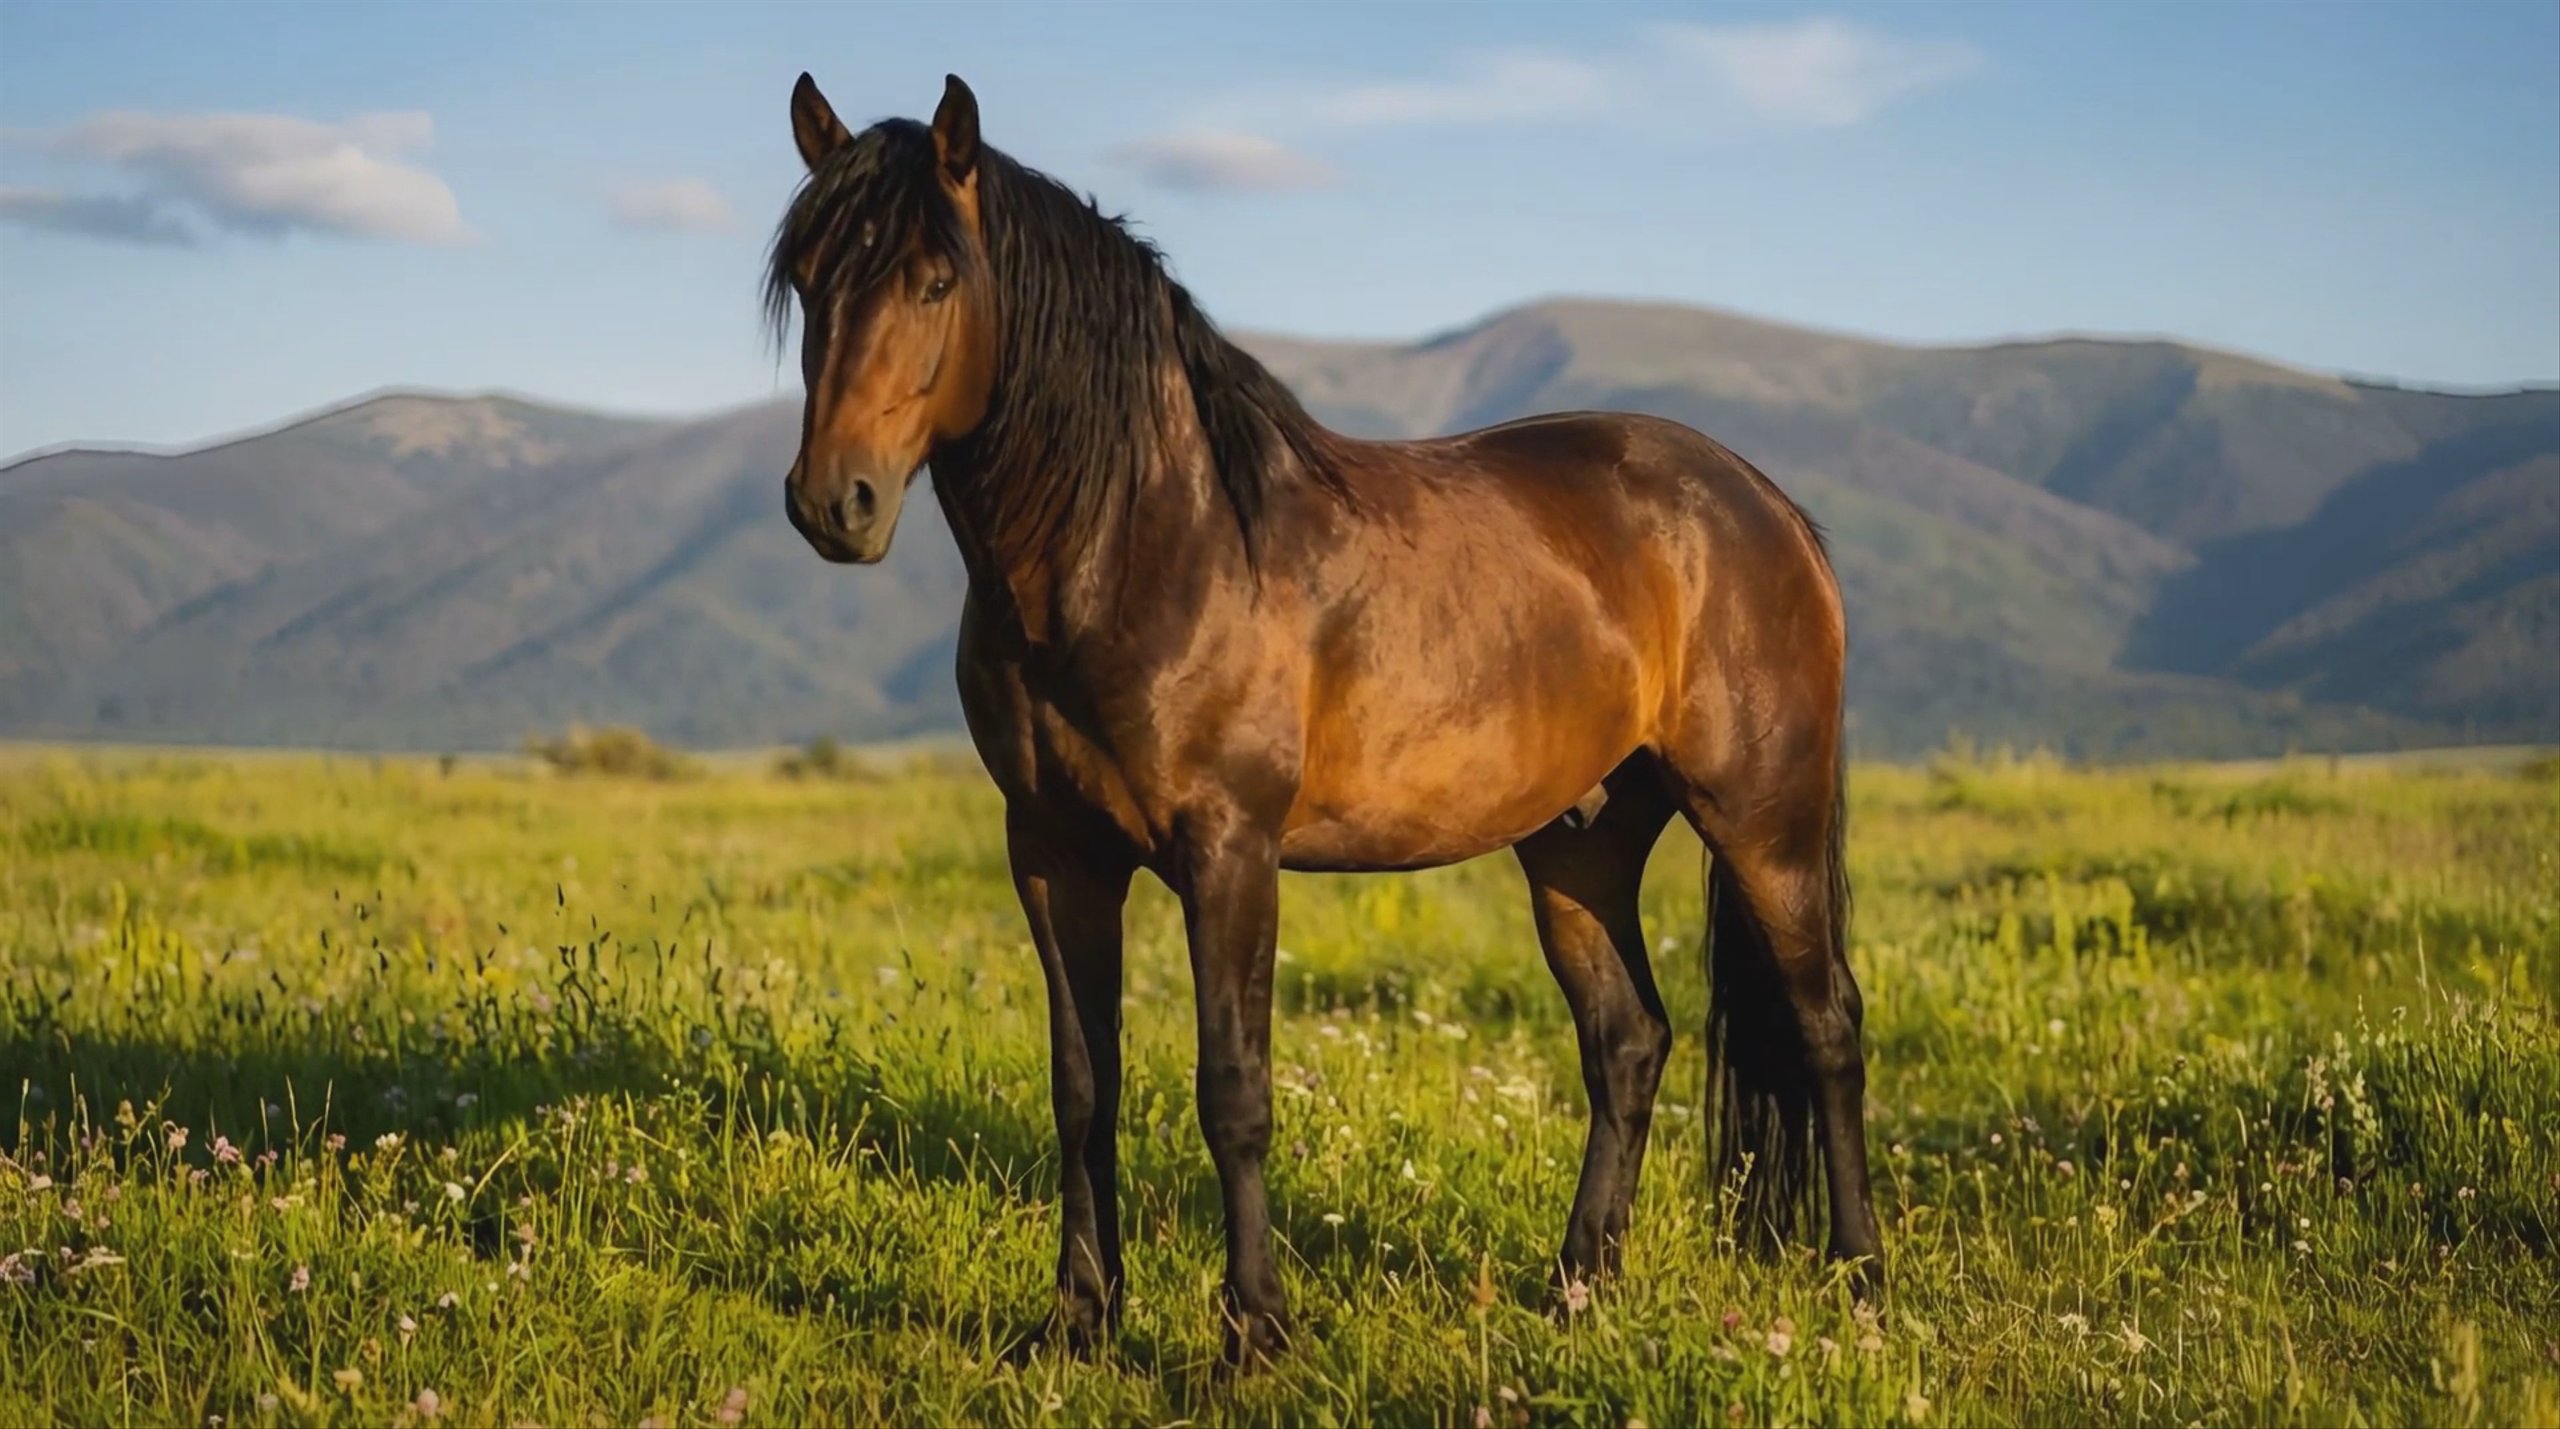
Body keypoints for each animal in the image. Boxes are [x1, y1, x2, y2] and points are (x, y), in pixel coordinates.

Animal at [766, 72, 1882, 1365]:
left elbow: (1232, 1088)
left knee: (1825, 1024)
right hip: (1581, 843)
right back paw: (1576, 1289)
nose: (832, 504)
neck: (1149, 540)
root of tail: (1764, 506)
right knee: (1628, 1040)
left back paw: (1861, 1281)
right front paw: (1077, 1323)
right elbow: (1082, 1084)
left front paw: (1254, 1335)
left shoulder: (1229, 850)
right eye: (810, 281)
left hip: (1762, 821)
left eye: (934, 282)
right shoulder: (1052, 853)